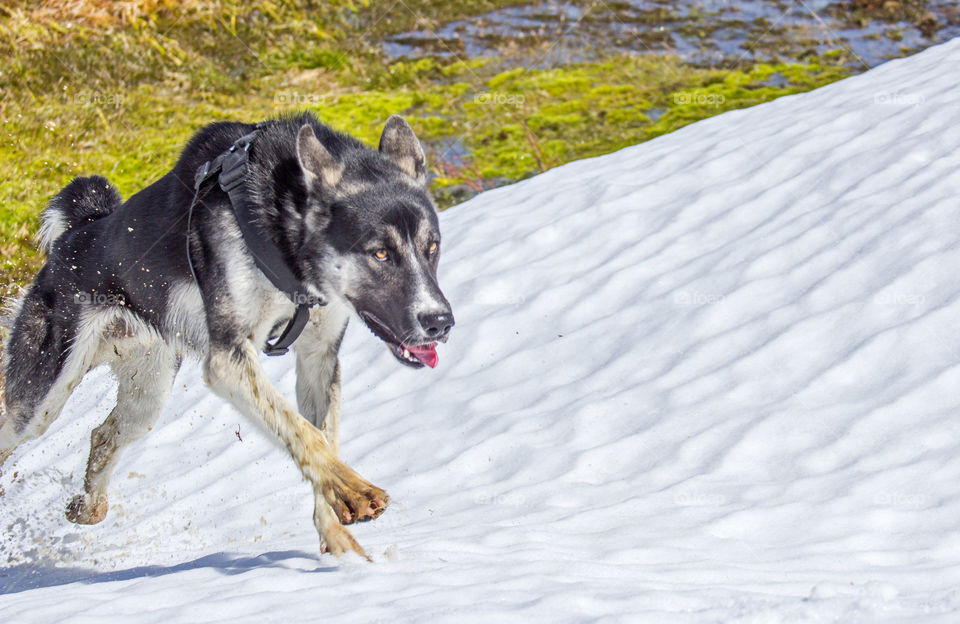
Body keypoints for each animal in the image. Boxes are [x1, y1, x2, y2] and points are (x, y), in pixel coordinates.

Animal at [0, 113, 454, 560]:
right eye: (380, 253)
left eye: (432, 247)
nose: (440, 321)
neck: (281, 232)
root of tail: (76, 235)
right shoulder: (229, 359)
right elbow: (303, 432)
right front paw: (352, 490)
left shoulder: (318, 358)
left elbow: (323, 439)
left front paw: (337, 535)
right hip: (41, 401)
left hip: (148, 395)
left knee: (103, 435)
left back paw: (89, 506)